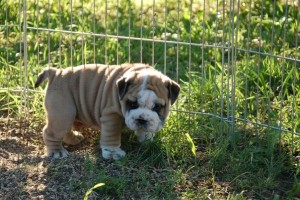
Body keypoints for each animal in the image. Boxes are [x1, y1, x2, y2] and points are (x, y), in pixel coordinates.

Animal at [35, 63, 180, 160]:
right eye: (132, 103)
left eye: (157, 107)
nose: (142, 119)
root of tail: (56, 73)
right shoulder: (111, 116)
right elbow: (111, 136)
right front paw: (113, 153)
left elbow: (144, 131)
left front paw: (146, 139)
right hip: (63, 113)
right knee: (51, 132)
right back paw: (57, 152)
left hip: (67, 114)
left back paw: (74, 138)